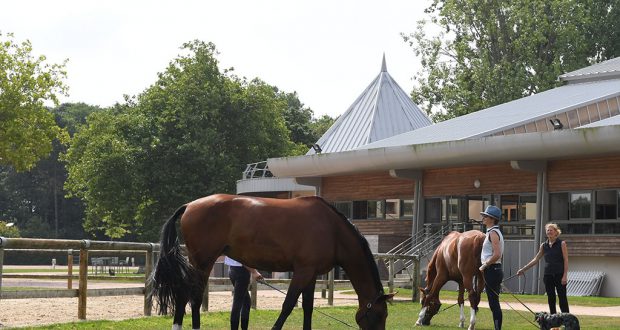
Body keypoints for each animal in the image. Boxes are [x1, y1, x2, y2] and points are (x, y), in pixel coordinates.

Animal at [151, 193, 392, 330]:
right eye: (380, 315)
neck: (332, 230)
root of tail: (190, 205)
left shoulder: (312, 274)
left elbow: (307, 307)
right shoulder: (302, 271)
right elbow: (288, 305)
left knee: (185, 295)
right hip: (203, 262)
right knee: (192, 296)